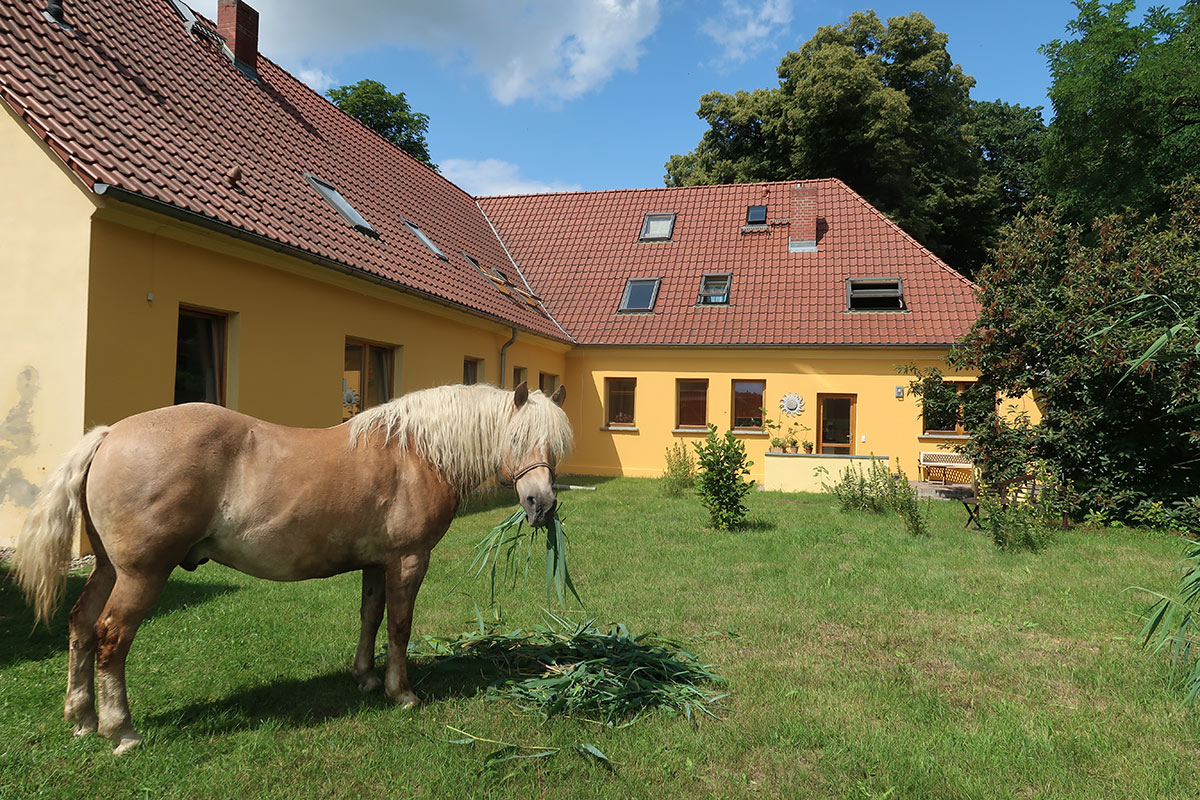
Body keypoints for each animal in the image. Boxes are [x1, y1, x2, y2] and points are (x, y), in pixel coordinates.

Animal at [11, 381, 568, 758]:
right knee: (110, 636)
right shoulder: (409, 559)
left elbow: (370, 618)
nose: (541, 505)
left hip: (109, 568)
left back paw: (81, 716)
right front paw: (402, 692)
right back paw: (119, 728)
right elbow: (399, 626)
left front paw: (366, 678)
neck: (415, 452)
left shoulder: (376, 563)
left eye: (556, 447)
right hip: (141, 574)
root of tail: (110, 434)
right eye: (515, 438)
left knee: (82, 625)